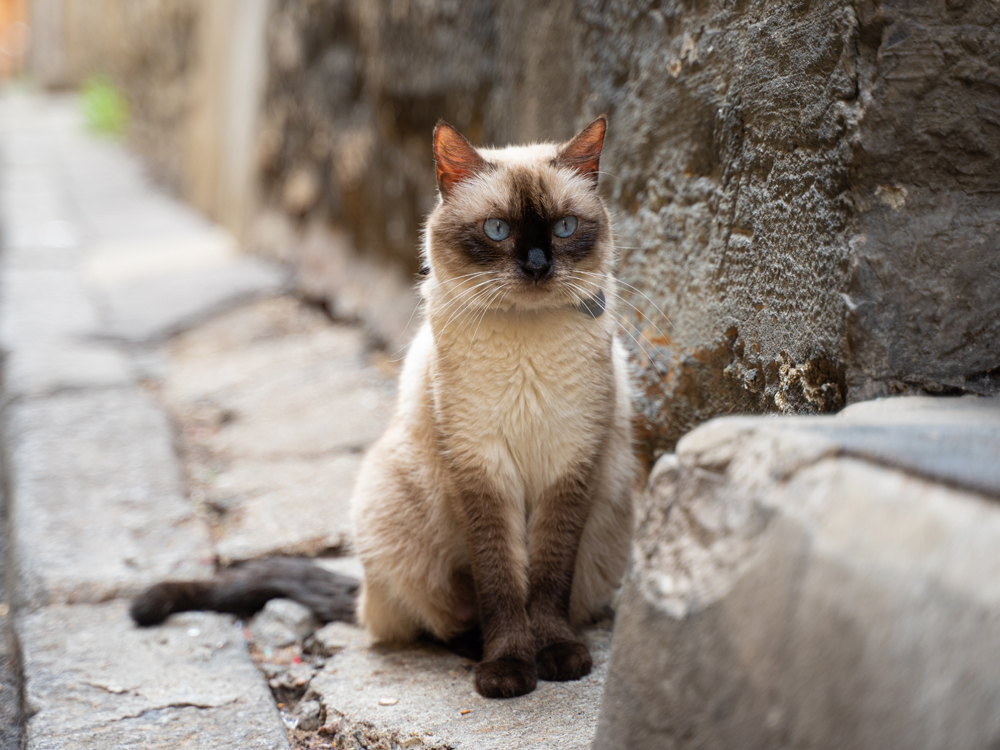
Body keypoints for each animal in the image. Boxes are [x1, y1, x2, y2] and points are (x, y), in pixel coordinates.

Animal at [129, 116, 636, 700]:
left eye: (565, 227)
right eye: (497, 231)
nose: (536, 266)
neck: (527, 340)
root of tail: (364, 594)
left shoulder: (571, 467)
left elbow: (550, 579)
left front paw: (557, 656)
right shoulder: (480, 473)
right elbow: (502, 585)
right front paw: (508, 671)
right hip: (393, 511)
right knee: (438, 620)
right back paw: (476, 649)